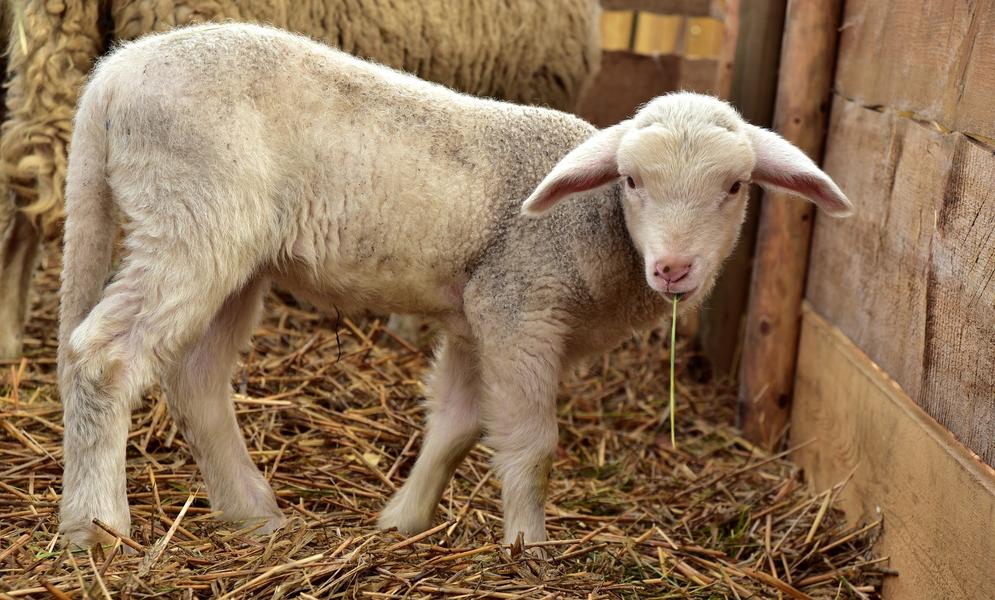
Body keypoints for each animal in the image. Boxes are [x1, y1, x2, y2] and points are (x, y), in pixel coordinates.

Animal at [57, 24, 852, 549]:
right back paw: (97, 527)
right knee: (103, 357)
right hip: (191, 217)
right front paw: (529, 549)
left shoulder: (478, 319)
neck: (594, 228)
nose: (675, 270)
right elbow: (530, 444)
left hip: (232, 252)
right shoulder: (521, 309)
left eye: (734, 187)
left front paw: (402, 521)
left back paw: (251, 511)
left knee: (194, 378)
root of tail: (113, 74)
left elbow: (458, 425)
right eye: (630, 180)